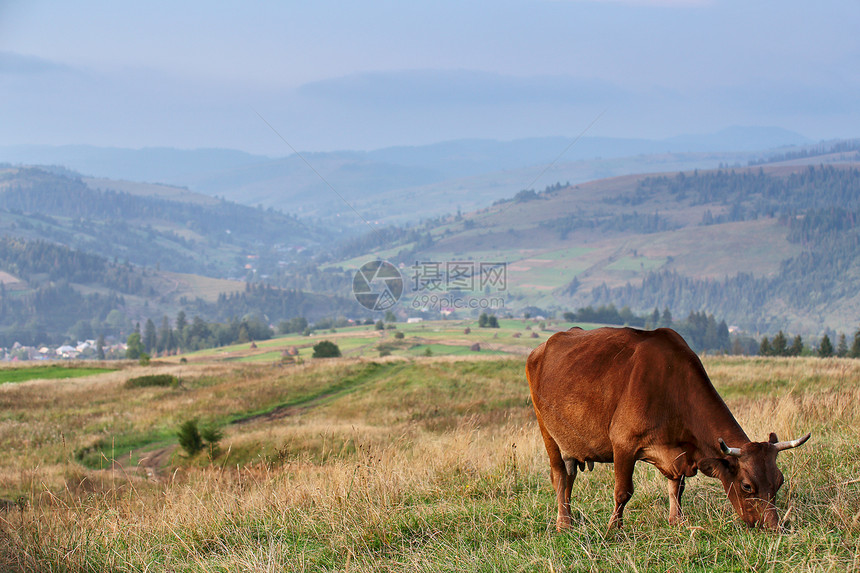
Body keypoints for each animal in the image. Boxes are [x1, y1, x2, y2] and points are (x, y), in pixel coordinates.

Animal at [528, 328, 808, 528]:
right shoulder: (623, 443)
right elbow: (623, 492)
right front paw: (613, 529)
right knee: (560, 476)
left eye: (780, 481)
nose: (773, 527)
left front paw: (677, 521)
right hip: (547, 432)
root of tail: (544, 345)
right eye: (747, 486)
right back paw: (563, 523)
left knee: (570, 476)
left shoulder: (680, 452)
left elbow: (677, 488)